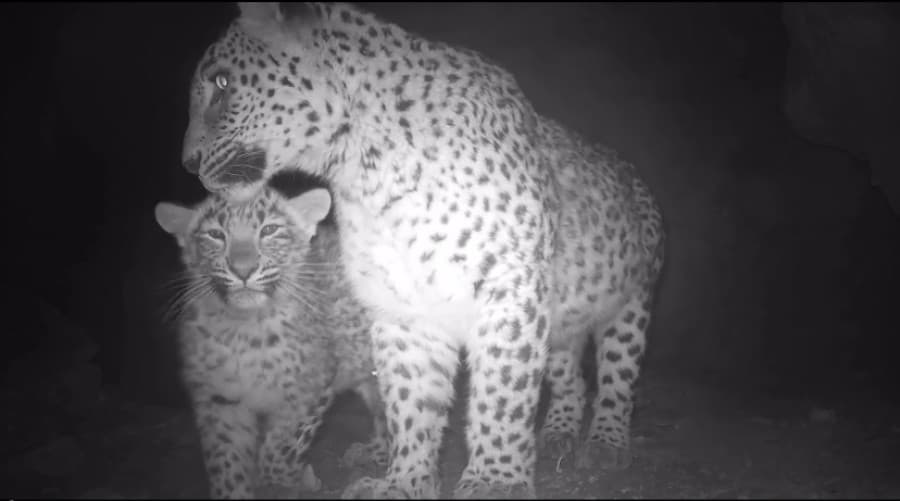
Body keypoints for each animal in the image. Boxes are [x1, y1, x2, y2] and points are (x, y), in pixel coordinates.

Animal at [154, 185, 390, 499]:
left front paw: (284, 480)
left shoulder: (309, 389)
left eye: (269, 230)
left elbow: (281, 448)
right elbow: (227, 466)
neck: (244, 329)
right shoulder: (220, 400)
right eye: (215, 235)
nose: (243, 269)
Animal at [178, 2, 665, 498]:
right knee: (570, 376)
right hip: (562, 322)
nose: (189, 163)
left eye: (222, 83)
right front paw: (405, 481)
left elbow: (502, 392)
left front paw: (494, 480)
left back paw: (605, 442)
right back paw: (560, 432)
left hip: (633, 301)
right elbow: (410, 398)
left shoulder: (510, 287)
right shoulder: (403, 301)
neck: (366, 167)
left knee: (617, 375)